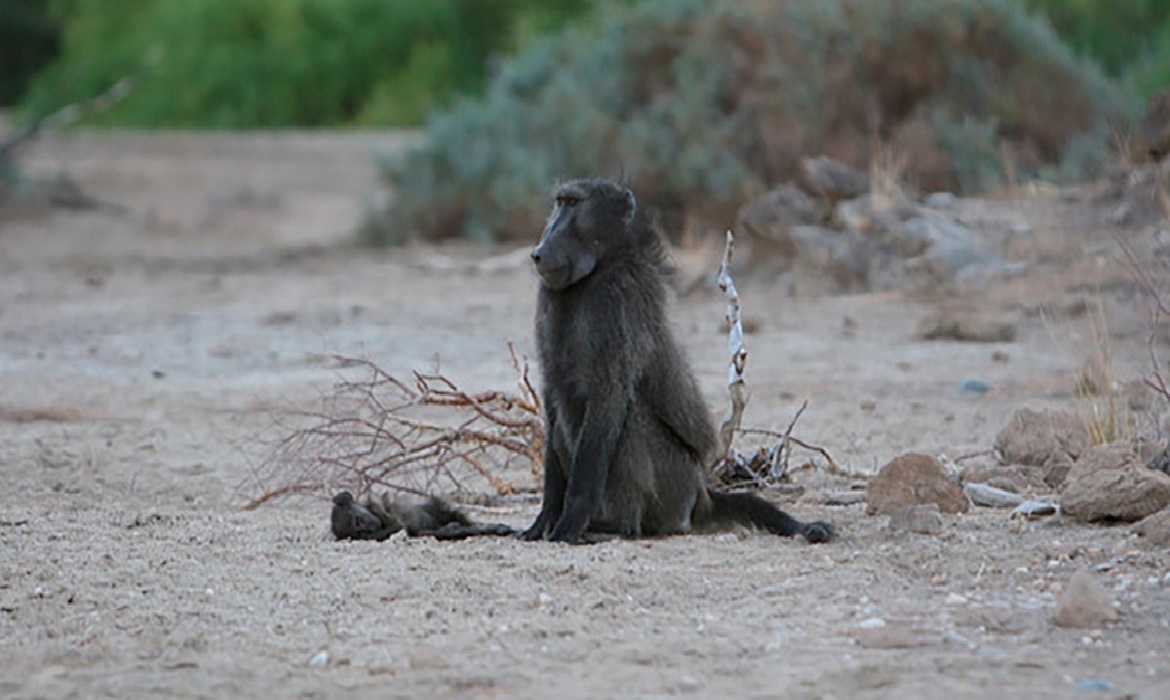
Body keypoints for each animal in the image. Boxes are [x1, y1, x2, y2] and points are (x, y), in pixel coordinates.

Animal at [522, 178, 834, 545]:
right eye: (559, 203)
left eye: (573, 203)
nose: (539, 251)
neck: (601, 268)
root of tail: (702, 498)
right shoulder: (549, 299)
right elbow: (553, 396)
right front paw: (543, 521)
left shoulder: (619, 296)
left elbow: (609, 395)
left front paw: (569, 523)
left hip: (675, 488)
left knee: (630, 416)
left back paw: (617, 527)